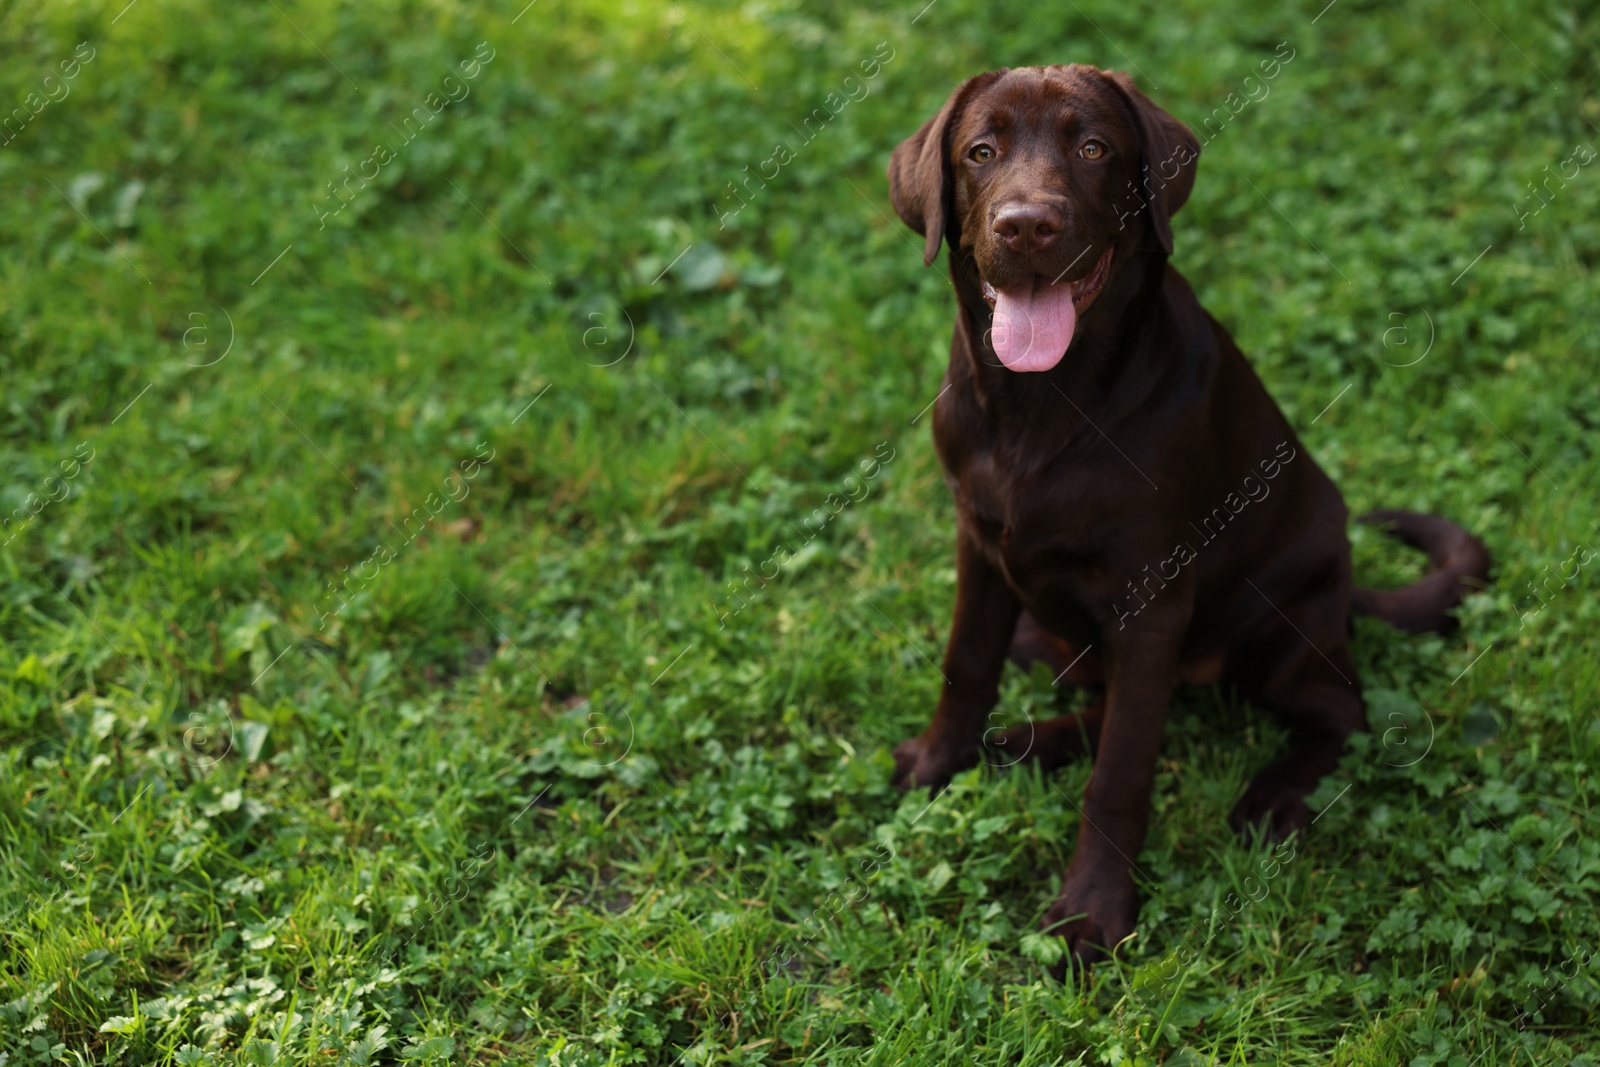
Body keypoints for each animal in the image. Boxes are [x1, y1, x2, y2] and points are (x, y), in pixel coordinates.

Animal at [889, 64, 1484, 966]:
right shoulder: (979, 545)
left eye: (1094, 149)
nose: (1026, 225)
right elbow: (966, 666)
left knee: (1337, 709)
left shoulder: (1151, 599)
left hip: (1280, 624)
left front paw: (1092, 912)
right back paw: (1025, 738)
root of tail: (1347, 584)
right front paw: (935, 763)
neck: (1044, 402)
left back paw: (1270, 796)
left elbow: (1124, 768)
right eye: (980, 152)